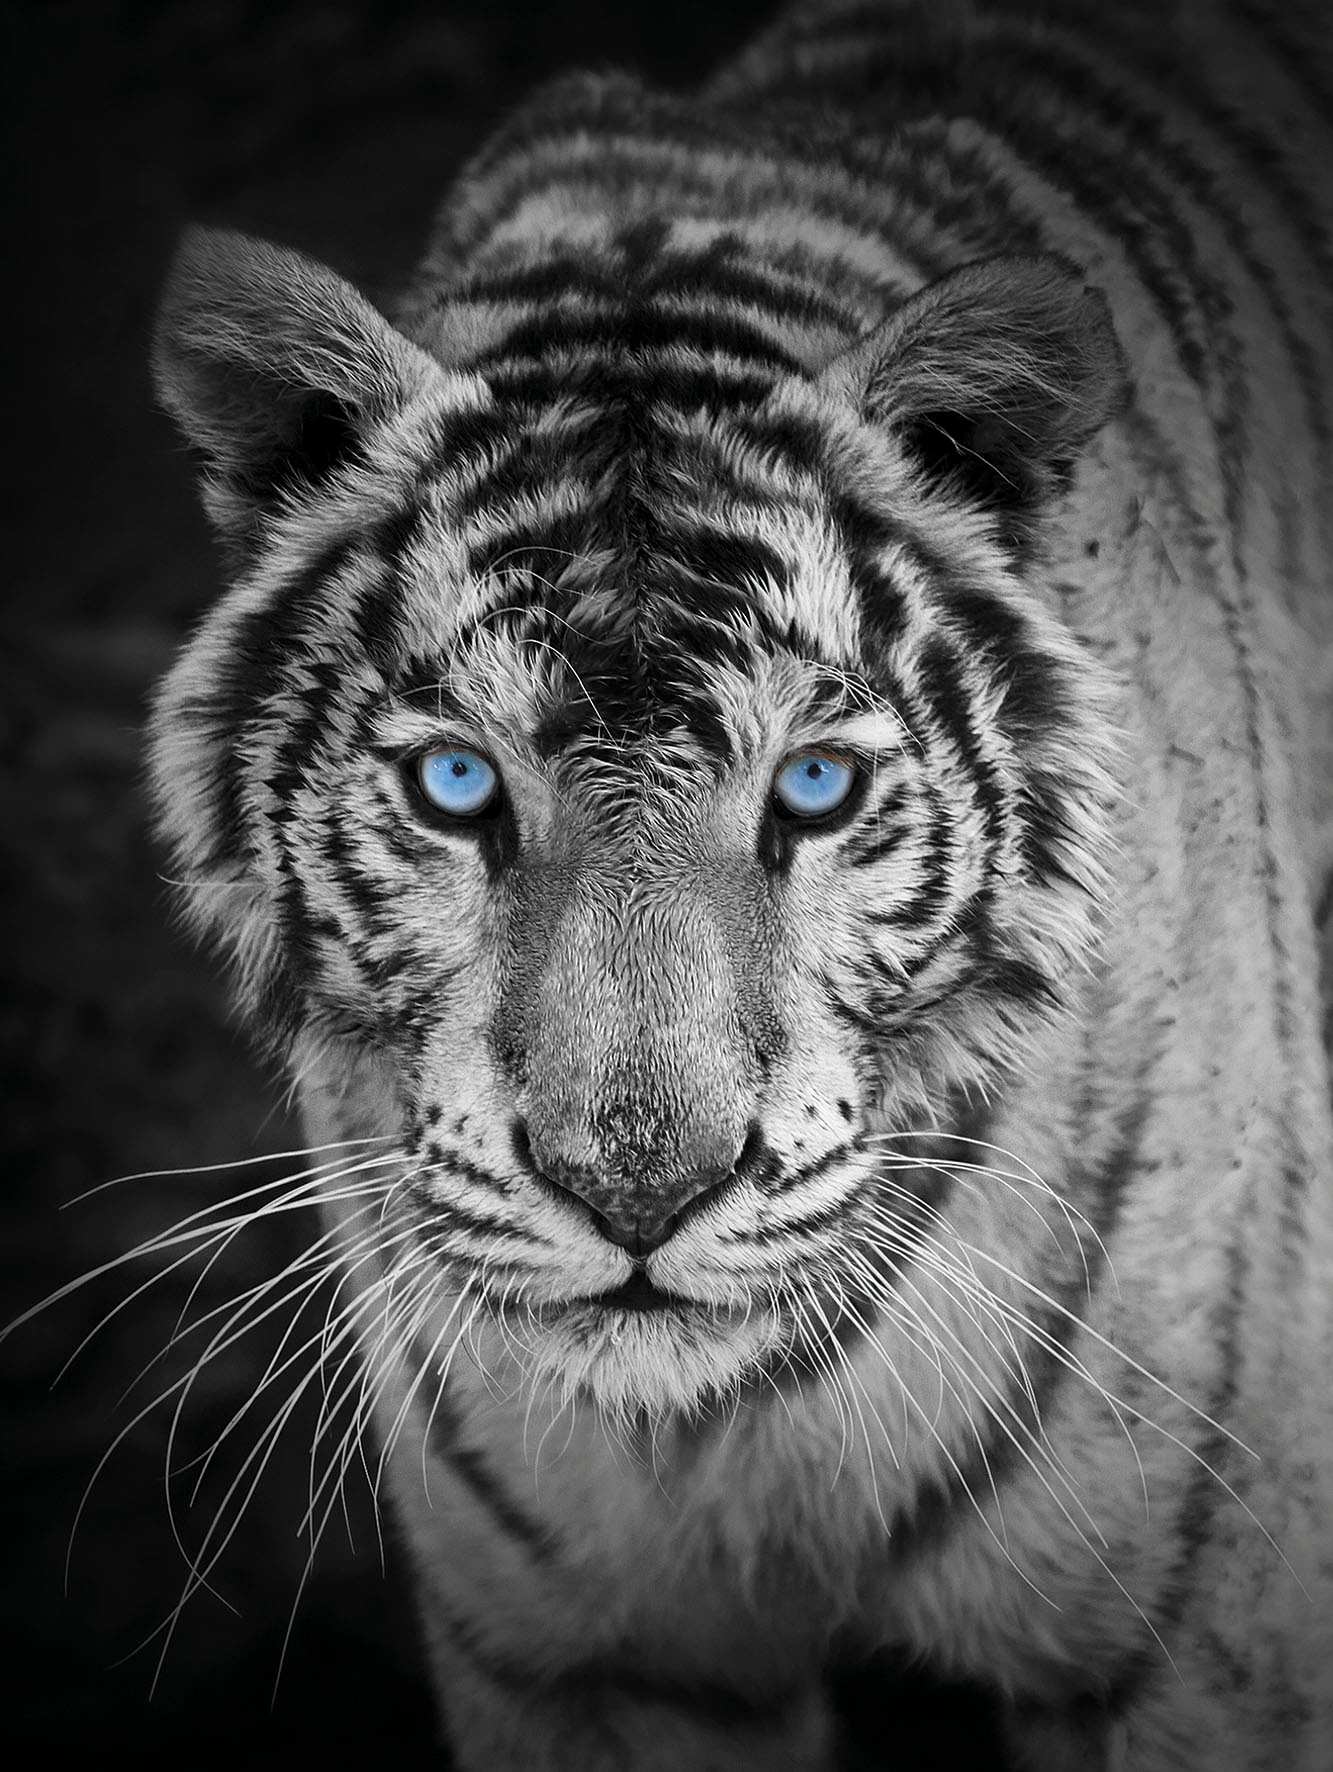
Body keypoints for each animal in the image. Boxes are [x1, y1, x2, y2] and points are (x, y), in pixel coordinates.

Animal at [145, 0, 1333, 1766]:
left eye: (816, 790)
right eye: (455, 785)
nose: (639, 1193)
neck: (729, 1434)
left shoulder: (1198, 1647)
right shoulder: (590, 1664)